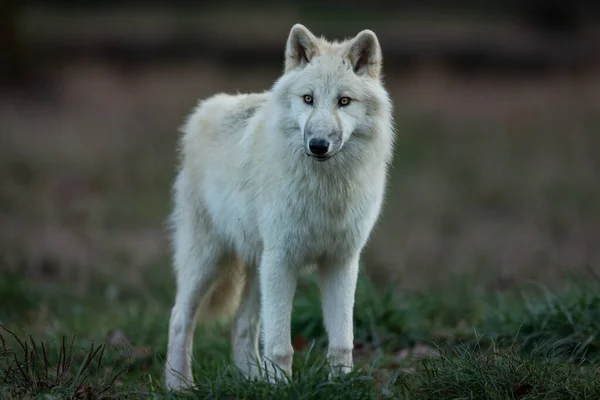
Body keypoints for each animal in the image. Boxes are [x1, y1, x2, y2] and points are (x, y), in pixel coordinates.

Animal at [166, 22, 396, 390]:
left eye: (344, 101)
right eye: (308, 99)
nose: (318, 145)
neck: (325, 188)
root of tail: (208, 106)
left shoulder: (342, 261)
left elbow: (342, 340)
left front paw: (339, 383)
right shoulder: (282, 258)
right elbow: (279, 345)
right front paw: (283, 388)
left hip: (257, 267)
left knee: (241, 325)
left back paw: (252, 381)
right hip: (210, 260)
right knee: (179, 318)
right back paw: (180, 386)